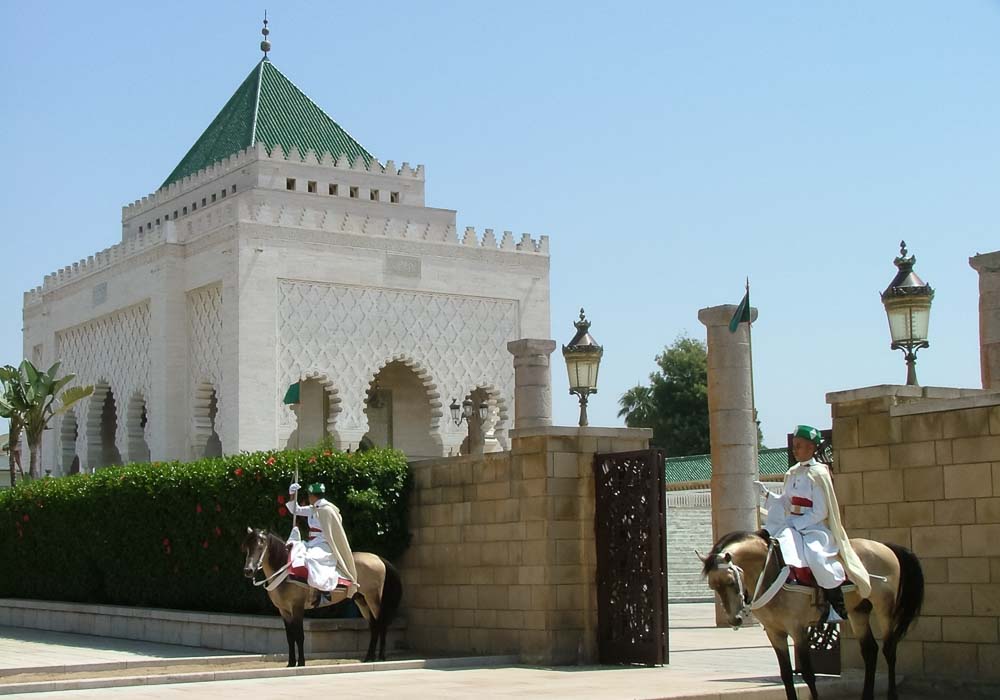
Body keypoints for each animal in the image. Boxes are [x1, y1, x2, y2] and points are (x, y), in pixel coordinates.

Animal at [242, 524, 402, 668]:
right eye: (247, 546)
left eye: (261, 545)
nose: (248, 570)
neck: (286, 571)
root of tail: (378, 558)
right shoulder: (284, 610)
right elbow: (290, 637)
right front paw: (291, 663)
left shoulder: (297, 607)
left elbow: (299, 635)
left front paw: (301, 663)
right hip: (361, 600)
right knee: (374, 625)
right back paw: (369, 657)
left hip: (373, 598)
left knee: (381, 623)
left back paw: (380, 657)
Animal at [704, 532, 920, 700]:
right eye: (713, 586)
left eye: (731, 582)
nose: (735, 619)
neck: (771, 572)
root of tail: (885, 546)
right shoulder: (775, 633)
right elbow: (786, 674)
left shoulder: (797, 629)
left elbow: (808, 673)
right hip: (858, 611)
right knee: (870, 650)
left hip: (885, 608)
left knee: (889, 649)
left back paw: (892, 694)